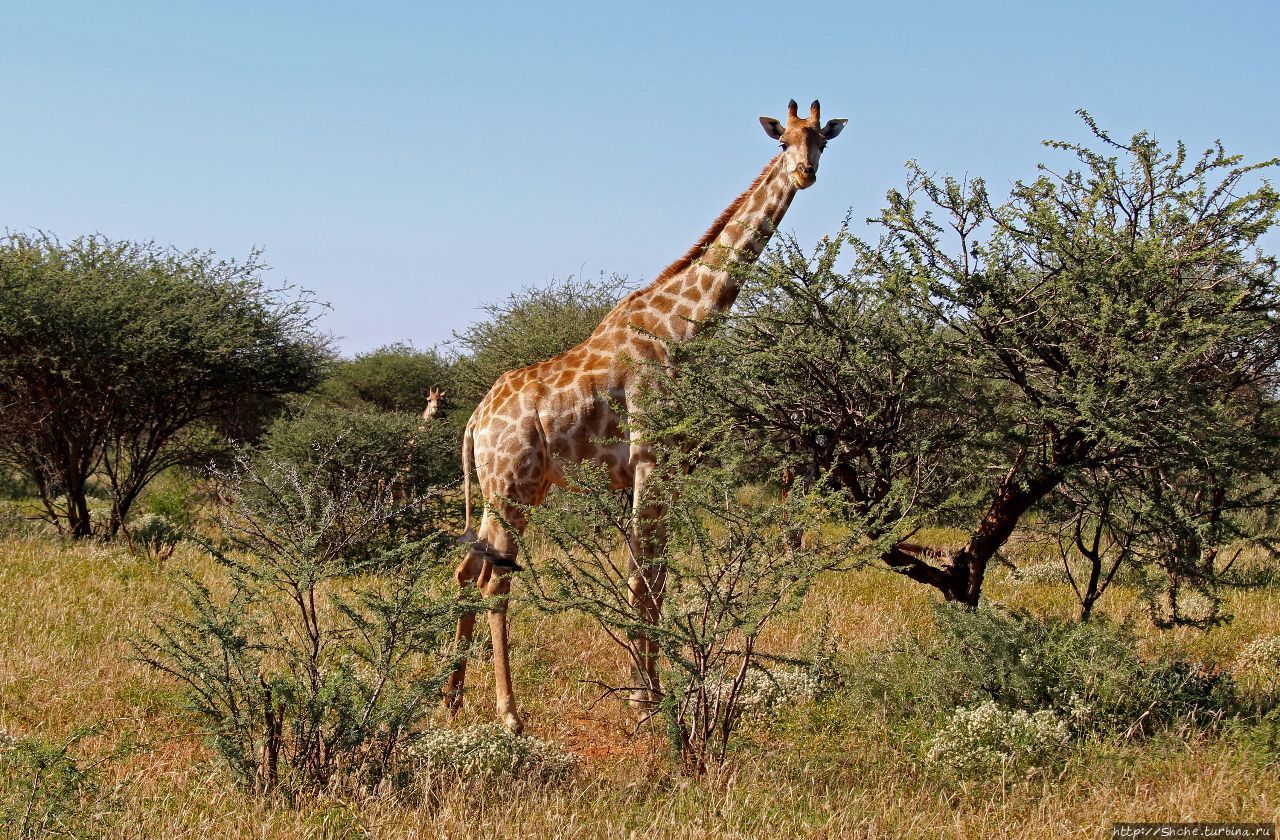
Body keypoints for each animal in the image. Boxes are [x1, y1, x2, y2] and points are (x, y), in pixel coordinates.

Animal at [445, 98, 844, 732]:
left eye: (821, 141)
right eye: (783, 141)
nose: (805, 173)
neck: (685, 325)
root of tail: (475, 421)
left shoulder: (670, 468)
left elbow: (656, 578)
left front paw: (653, 692)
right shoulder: (651, 460)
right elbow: (642, 580)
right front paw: (643, 700)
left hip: (505, 489)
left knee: (465, 572)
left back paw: (452, 698)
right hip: (512, 485)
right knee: (492, 582)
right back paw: (509, 715)